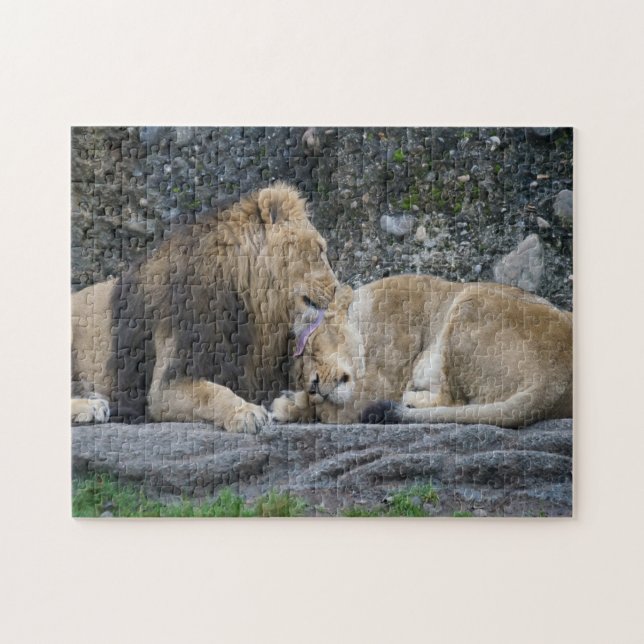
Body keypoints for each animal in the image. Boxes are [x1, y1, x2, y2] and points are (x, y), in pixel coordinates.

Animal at [71, 183, 339, 433]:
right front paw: (246, 412)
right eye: (319, 250)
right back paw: (92, 406)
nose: (336, 288)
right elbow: (212, 392)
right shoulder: (165, 386)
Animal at [271, 274, 572, 429]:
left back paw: (410, 399)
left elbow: (331, 412)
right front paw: (294, 401)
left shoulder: (379, 385)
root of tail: (557, 378)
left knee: (456, 402)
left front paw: (289, 404)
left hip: (469, 302)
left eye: (311, 349)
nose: (312, 386)